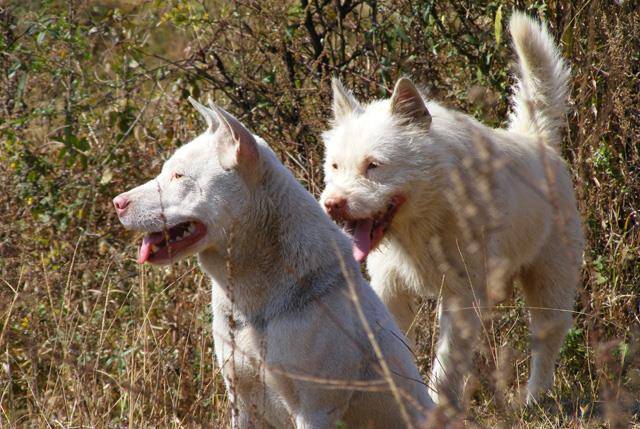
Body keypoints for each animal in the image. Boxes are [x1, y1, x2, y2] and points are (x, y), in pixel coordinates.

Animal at [320, 11, 584, 402]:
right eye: (335, 166)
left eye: (374, 165)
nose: (332, 205)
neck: (429, 215)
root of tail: (537, 141)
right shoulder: (391, 290)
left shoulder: (460, 299)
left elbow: (444, 371)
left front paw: (434, 406)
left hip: (550, 287)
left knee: (546, 346)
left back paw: (532, 401)